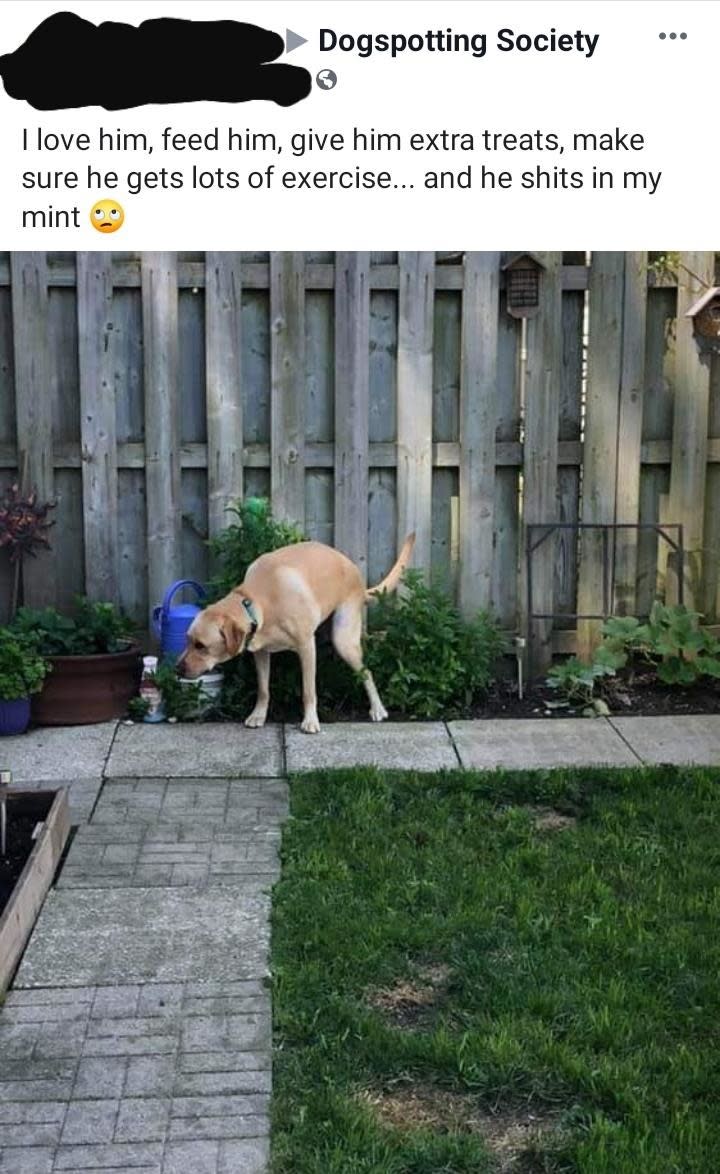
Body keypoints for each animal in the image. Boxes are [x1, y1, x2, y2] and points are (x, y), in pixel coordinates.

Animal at [175, 535, 415, 732]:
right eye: (187, 640)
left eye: (201, 645)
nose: (177, 668)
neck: (257, 603)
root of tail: (357, 574)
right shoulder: (260, 652)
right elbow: (263, 689)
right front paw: (258, 715)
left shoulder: (306, 647)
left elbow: (308, 691)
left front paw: (310, 720)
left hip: (344, 640)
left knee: (367, 672)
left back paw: (378, 708)